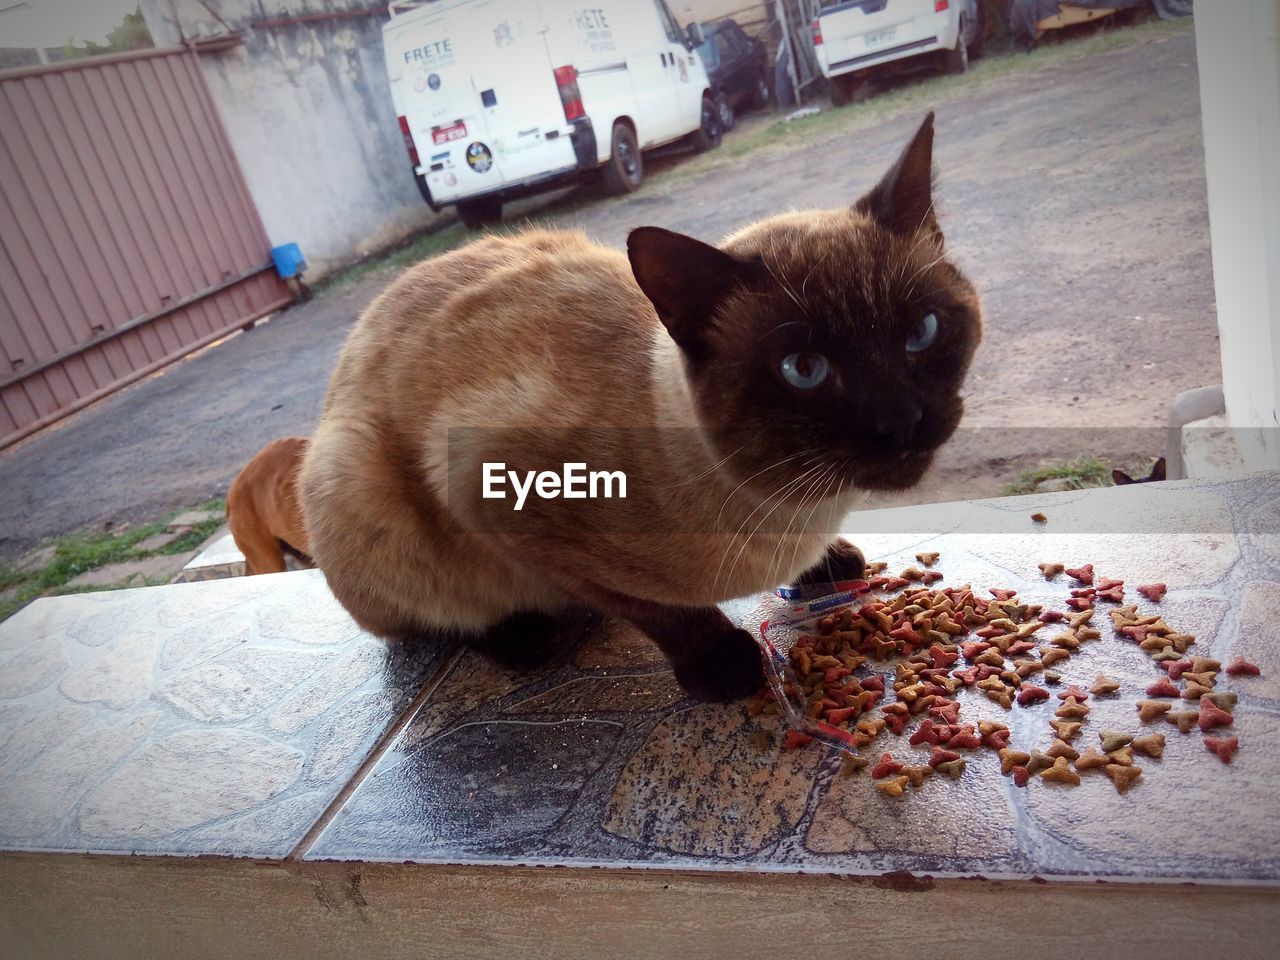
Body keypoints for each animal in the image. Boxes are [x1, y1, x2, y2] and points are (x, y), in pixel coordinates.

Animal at [299, 112, 977, 701]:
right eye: (804, 371)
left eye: (922, 332)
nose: (903, 419)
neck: (796, 510)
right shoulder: (492, 491)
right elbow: (657, 612)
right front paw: (723, 666)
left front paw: (830, 565)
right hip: (353, 478)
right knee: (436, 620)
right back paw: (525, 636)